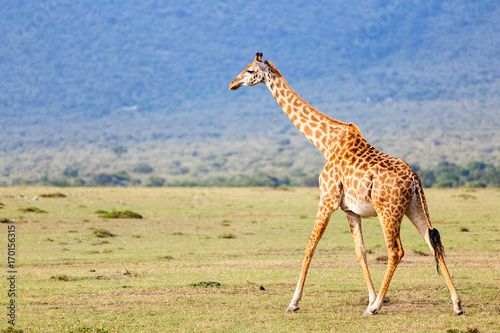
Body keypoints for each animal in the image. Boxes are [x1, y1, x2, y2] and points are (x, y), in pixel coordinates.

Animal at [229, 52, 462, 314]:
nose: (232, 84)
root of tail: (414, 179)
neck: (325, 143)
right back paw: (457, 304)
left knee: (396, 251)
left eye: (249, 70)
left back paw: (376, 308)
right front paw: (370, 297)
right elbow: (360, 251)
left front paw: (294, 302)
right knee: (433, 243)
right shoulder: (350, 209)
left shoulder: (327, 199)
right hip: (415, 207)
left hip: (388, 210)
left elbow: (310, 246)